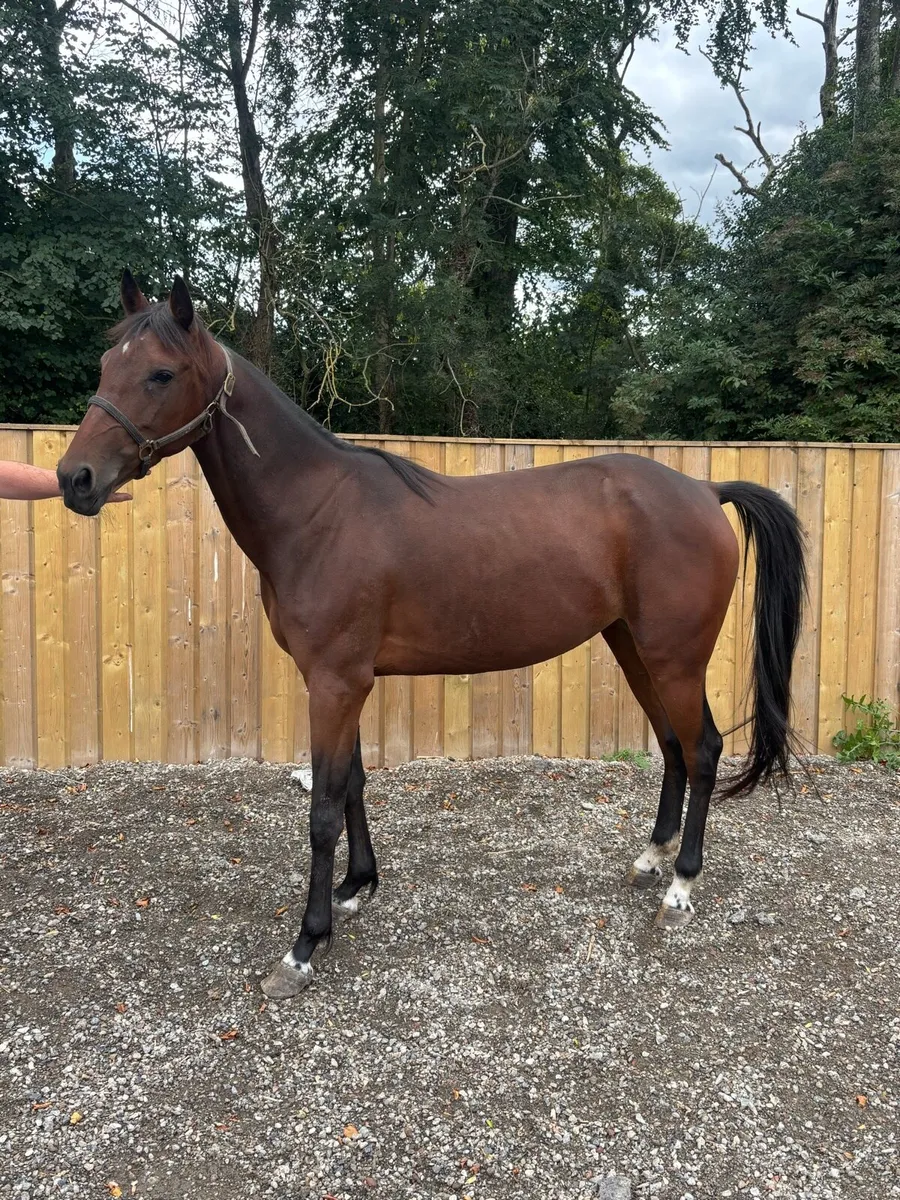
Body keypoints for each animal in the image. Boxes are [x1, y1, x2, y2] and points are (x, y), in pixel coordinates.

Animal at [57, 272, 806, 1000]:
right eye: (106, 363)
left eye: (159, 373)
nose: (75, 479)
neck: (317, 510)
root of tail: (705, 491)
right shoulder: (342, 681)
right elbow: (353, 785)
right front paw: (356, 886)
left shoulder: (335, 682)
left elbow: (323, 809)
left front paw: (305, 946)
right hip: (633, 647)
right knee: (674, 746)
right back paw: (650, 859)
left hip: (674, 657)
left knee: (703, 748)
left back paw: (680, 885)